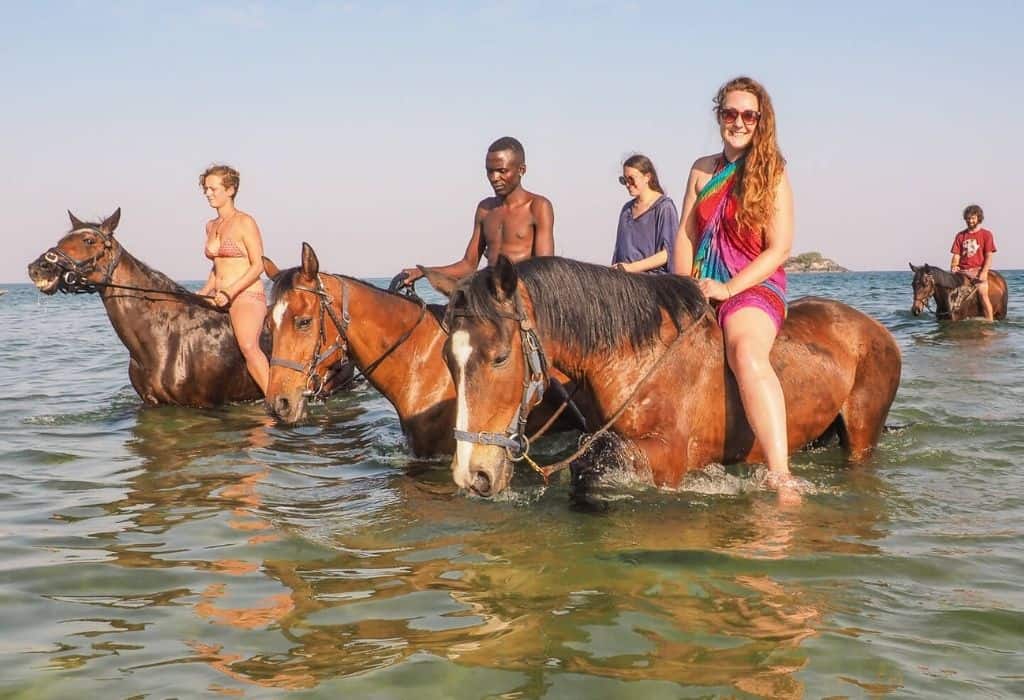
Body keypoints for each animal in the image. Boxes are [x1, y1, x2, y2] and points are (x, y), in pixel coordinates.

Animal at [444, 256, 901, 497]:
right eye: (449, 359)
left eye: (501, 358)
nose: (472, 474)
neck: (637, 357)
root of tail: (877, 330)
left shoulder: (668, 460)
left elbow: (590, 464)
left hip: (862, 435)